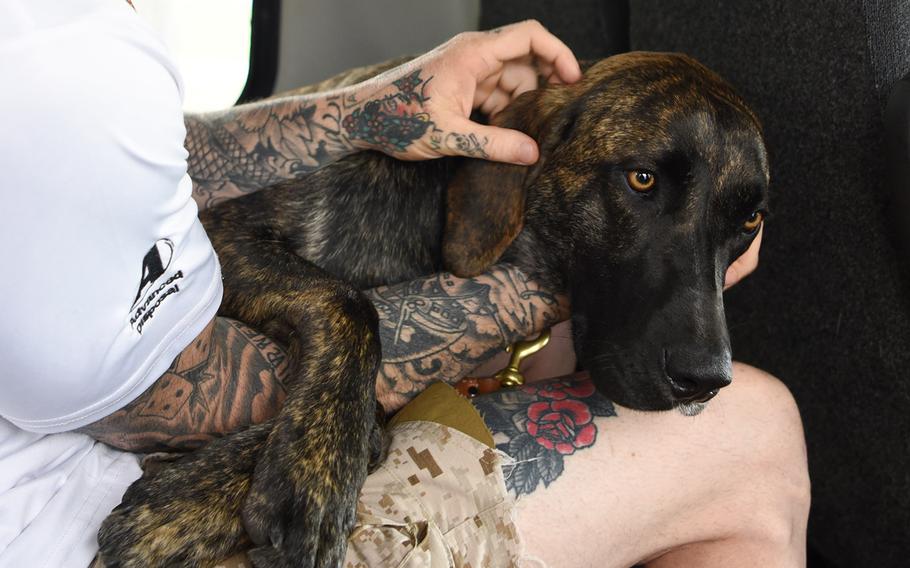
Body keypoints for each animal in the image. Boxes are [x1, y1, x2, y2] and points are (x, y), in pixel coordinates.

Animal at [96, 51, 768, 564]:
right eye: (642, 179)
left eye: (750, 221)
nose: (706, 381)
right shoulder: (218, 237)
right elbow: (350, 306)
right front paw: (303, 485)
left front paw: (197, 497)